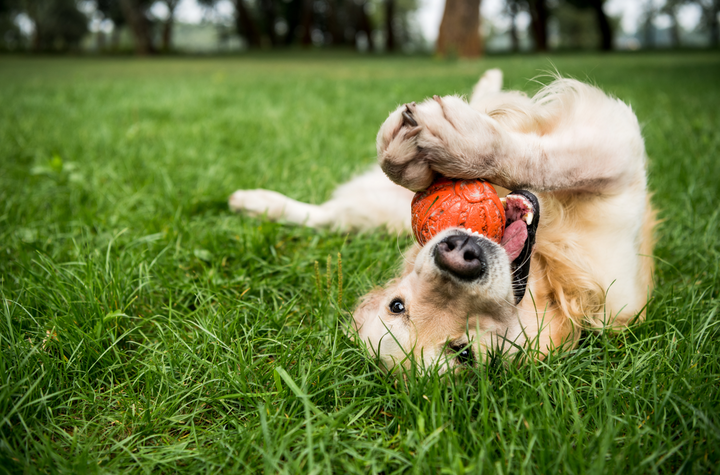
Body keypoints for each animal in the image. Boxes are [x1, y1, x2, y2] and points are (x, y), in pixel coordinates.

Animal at [228, 69, 656, 372]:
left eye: (396, 306)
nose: (459, 253)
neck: (547, 274)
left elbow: (546, 159)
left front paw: (453, 145)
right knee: (328, 216)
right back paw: (254, 203)